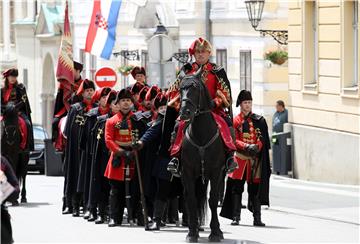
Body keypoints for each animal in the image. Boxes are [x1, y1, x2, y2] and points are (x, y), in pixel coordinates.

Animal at [179, 69, 226, 242]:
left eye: (195, 88)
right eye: (180, 89)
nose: (185, 112)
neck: (201, 135)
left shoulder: (216, 171)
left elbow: (212, 200)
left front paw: (215, 232)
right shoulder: (187, 172)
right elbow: (191, 199)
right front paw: (192, 232)